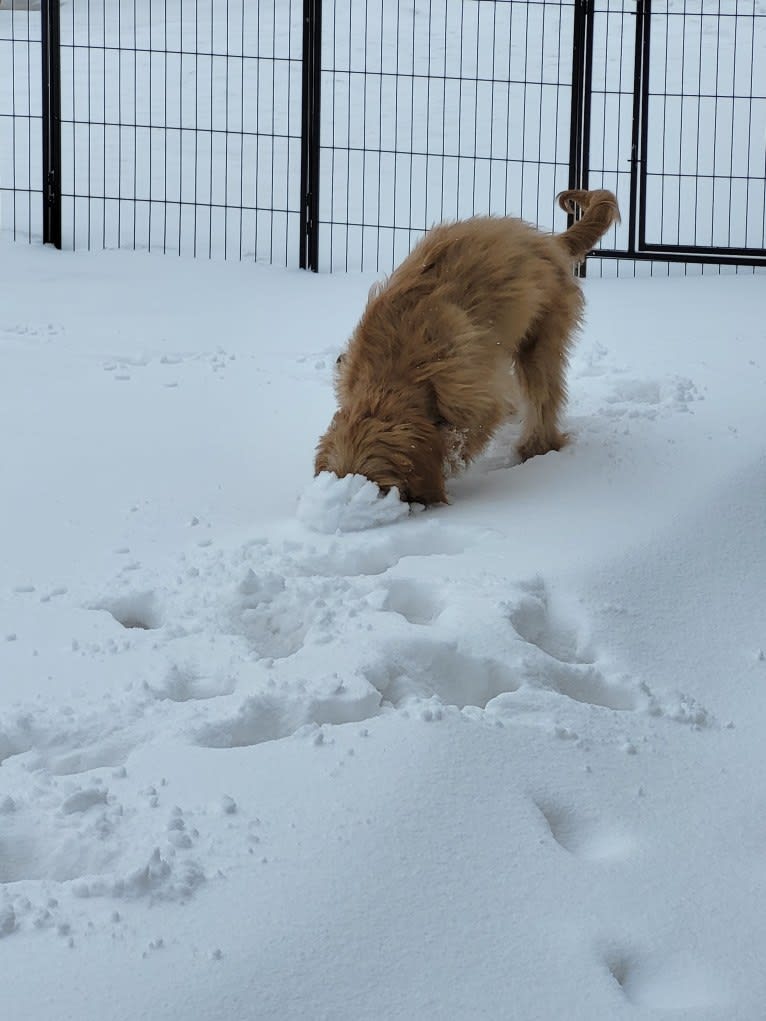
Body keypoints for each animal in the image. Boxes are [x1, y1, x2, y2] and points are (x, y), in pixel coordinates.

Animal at [314, 189, 620, 504]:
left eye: (380, 488)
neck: (393, 371)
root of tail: (550, 242)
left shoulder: (468, 396)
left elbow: (460, 437)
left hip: (541, 337)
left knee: (543, 396)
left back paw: (534, 448)